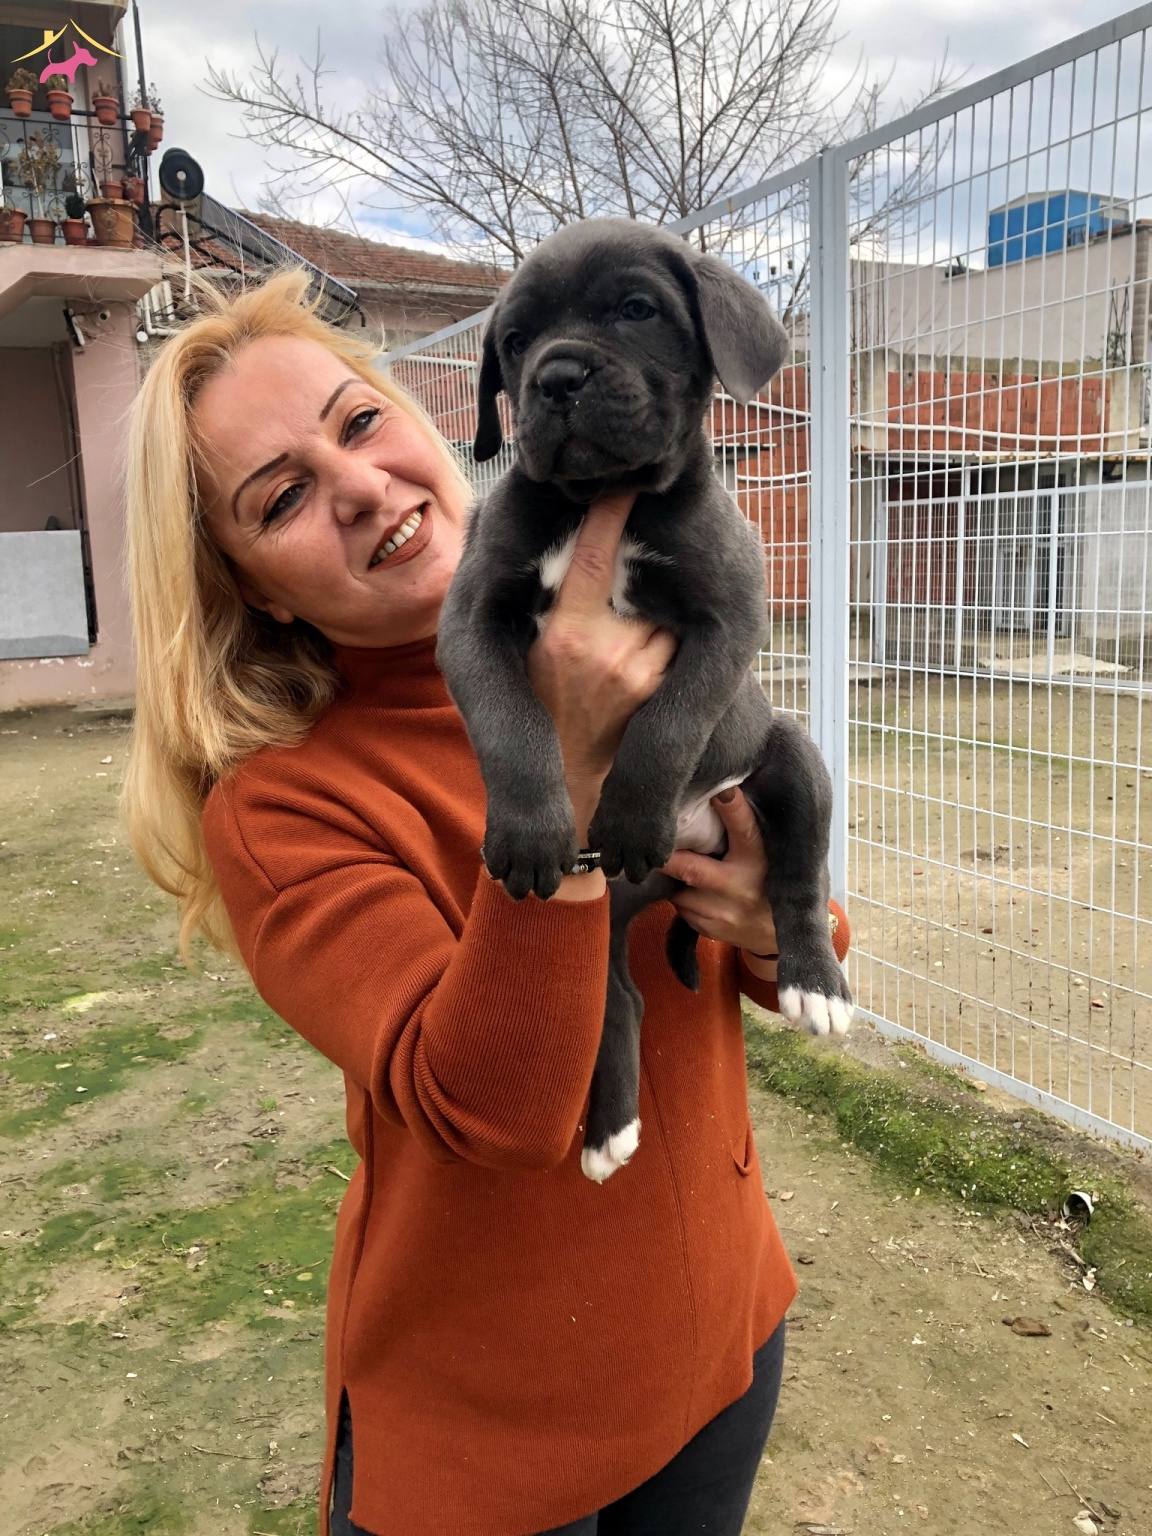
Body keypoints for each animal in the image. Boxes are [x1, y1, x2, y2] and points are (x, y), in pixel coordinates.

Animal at [437, 218, 852, 1181]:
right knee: (618, 993)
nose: (556, 377)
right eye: (514, 342)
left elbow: (669, 724)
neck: (605, 501)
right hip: (607, 914)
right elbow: (513, 727)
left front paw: (627, 811)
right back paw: (609, 1132)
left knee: (799, 877)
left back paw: (815, 985)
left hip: (790, 756)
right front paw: (531, 833)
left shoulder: (729, 619)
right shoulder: (472, 620)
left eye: (636, 309)